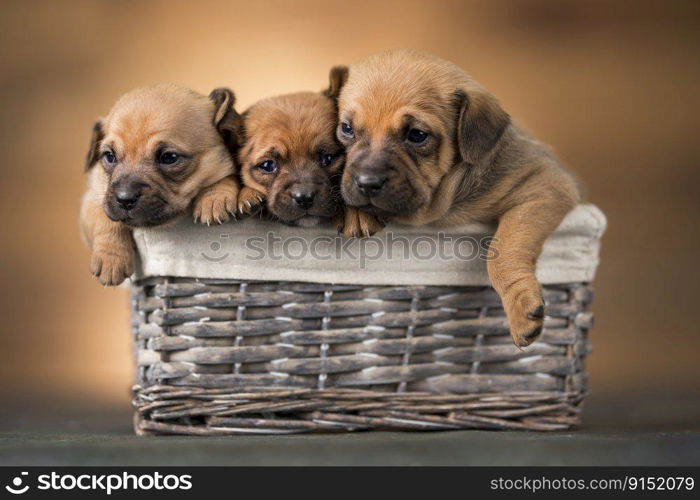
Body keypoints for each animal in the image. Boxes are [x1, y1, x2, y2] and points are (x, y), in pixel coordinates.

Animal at [80, 82, 241, 286]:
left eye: (169, 157)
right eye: (109, 156)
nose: (124, 199)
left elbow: (229, 175)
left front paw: (214, 198)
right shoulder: (91, 198)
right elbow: (103, 216)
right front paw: (111, 258)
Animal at [334, 50, 580, 348]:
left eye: (417, 135)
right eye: (347, 129)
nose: (367, 183)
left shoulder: (544, 183)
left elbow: (505, 248)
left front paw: (521, 305)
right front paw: (358, 213)